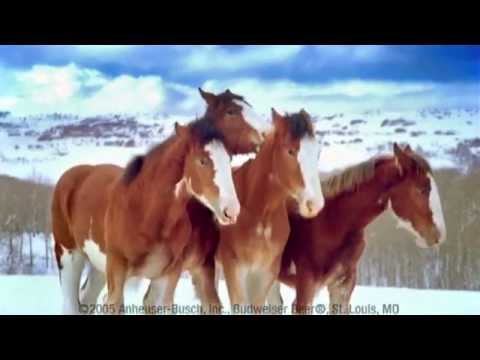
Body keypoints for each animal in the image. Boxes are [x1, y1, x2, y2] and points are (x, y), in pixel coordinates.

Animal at [51, 88, 262, 316]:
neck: (147, 211)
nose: (231, 210)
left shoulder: (175, 274)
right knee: (71, 303)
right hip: (69, 256)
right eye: (202, 161)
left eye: (229, 159)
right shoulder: (118, 269)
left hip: (98, 266)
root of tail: (73, 175)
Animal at [216, 109, 324, 312]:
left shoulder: (266, 271)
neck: (259, 212)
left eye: (317, 152)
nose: (314, 204)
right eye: (290, 151)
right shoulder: (234, 268)